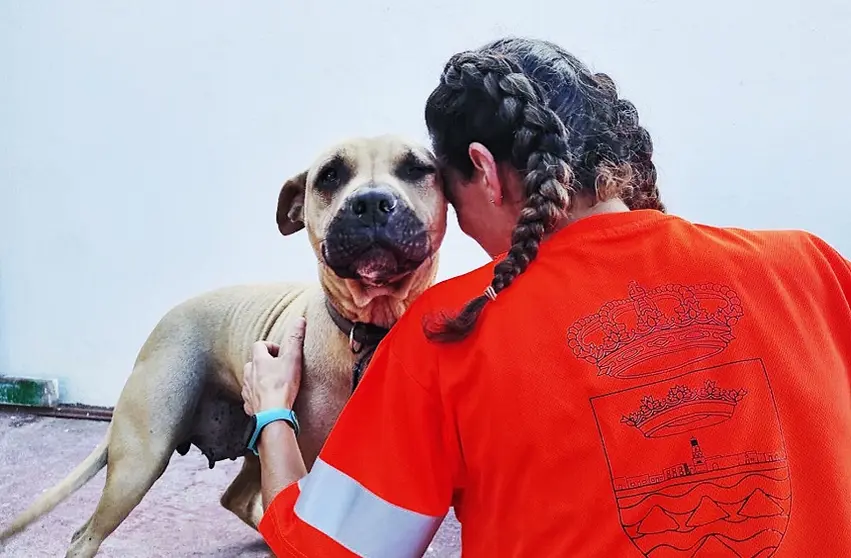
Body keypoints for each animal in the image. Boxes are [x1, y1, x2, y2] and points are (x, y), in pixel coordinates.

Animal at [0, 137, 450, 558]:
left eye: (416, 168)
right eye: (330, 176)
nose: (371, 202)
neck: (370, 331)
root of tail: (160, 326)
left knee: (237, 499)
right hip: (140, 461)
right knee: (85, 536)